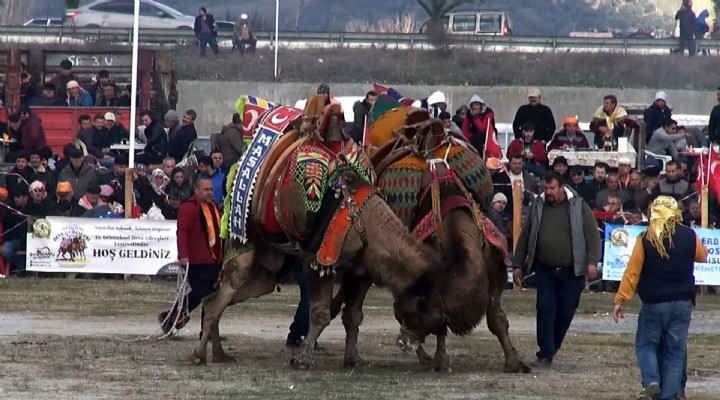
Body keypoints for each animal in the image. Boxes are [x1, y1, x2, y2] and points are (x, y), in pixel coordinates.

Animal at [194, 98, 448, 368]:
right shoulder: (319, 260)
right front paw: (302, 358)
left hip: (268, 269)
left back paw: (219, 354)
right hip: (241, 243)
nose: (409, 344)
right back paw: (200, 354)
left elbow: (353, 315)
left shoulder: (360, 271)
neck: (363, 221)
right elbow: (320, 314)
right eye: (423, 308)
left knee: (216, 298)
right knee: (224, 292)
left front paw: (352, 358)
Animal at [332, 104, 528, 374]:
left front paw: (515, 361)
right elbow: (443, 329)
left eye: (417, 315)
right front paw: (440, 360)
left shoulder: (493, 264)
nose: (403, 342)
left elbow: (496, 318)